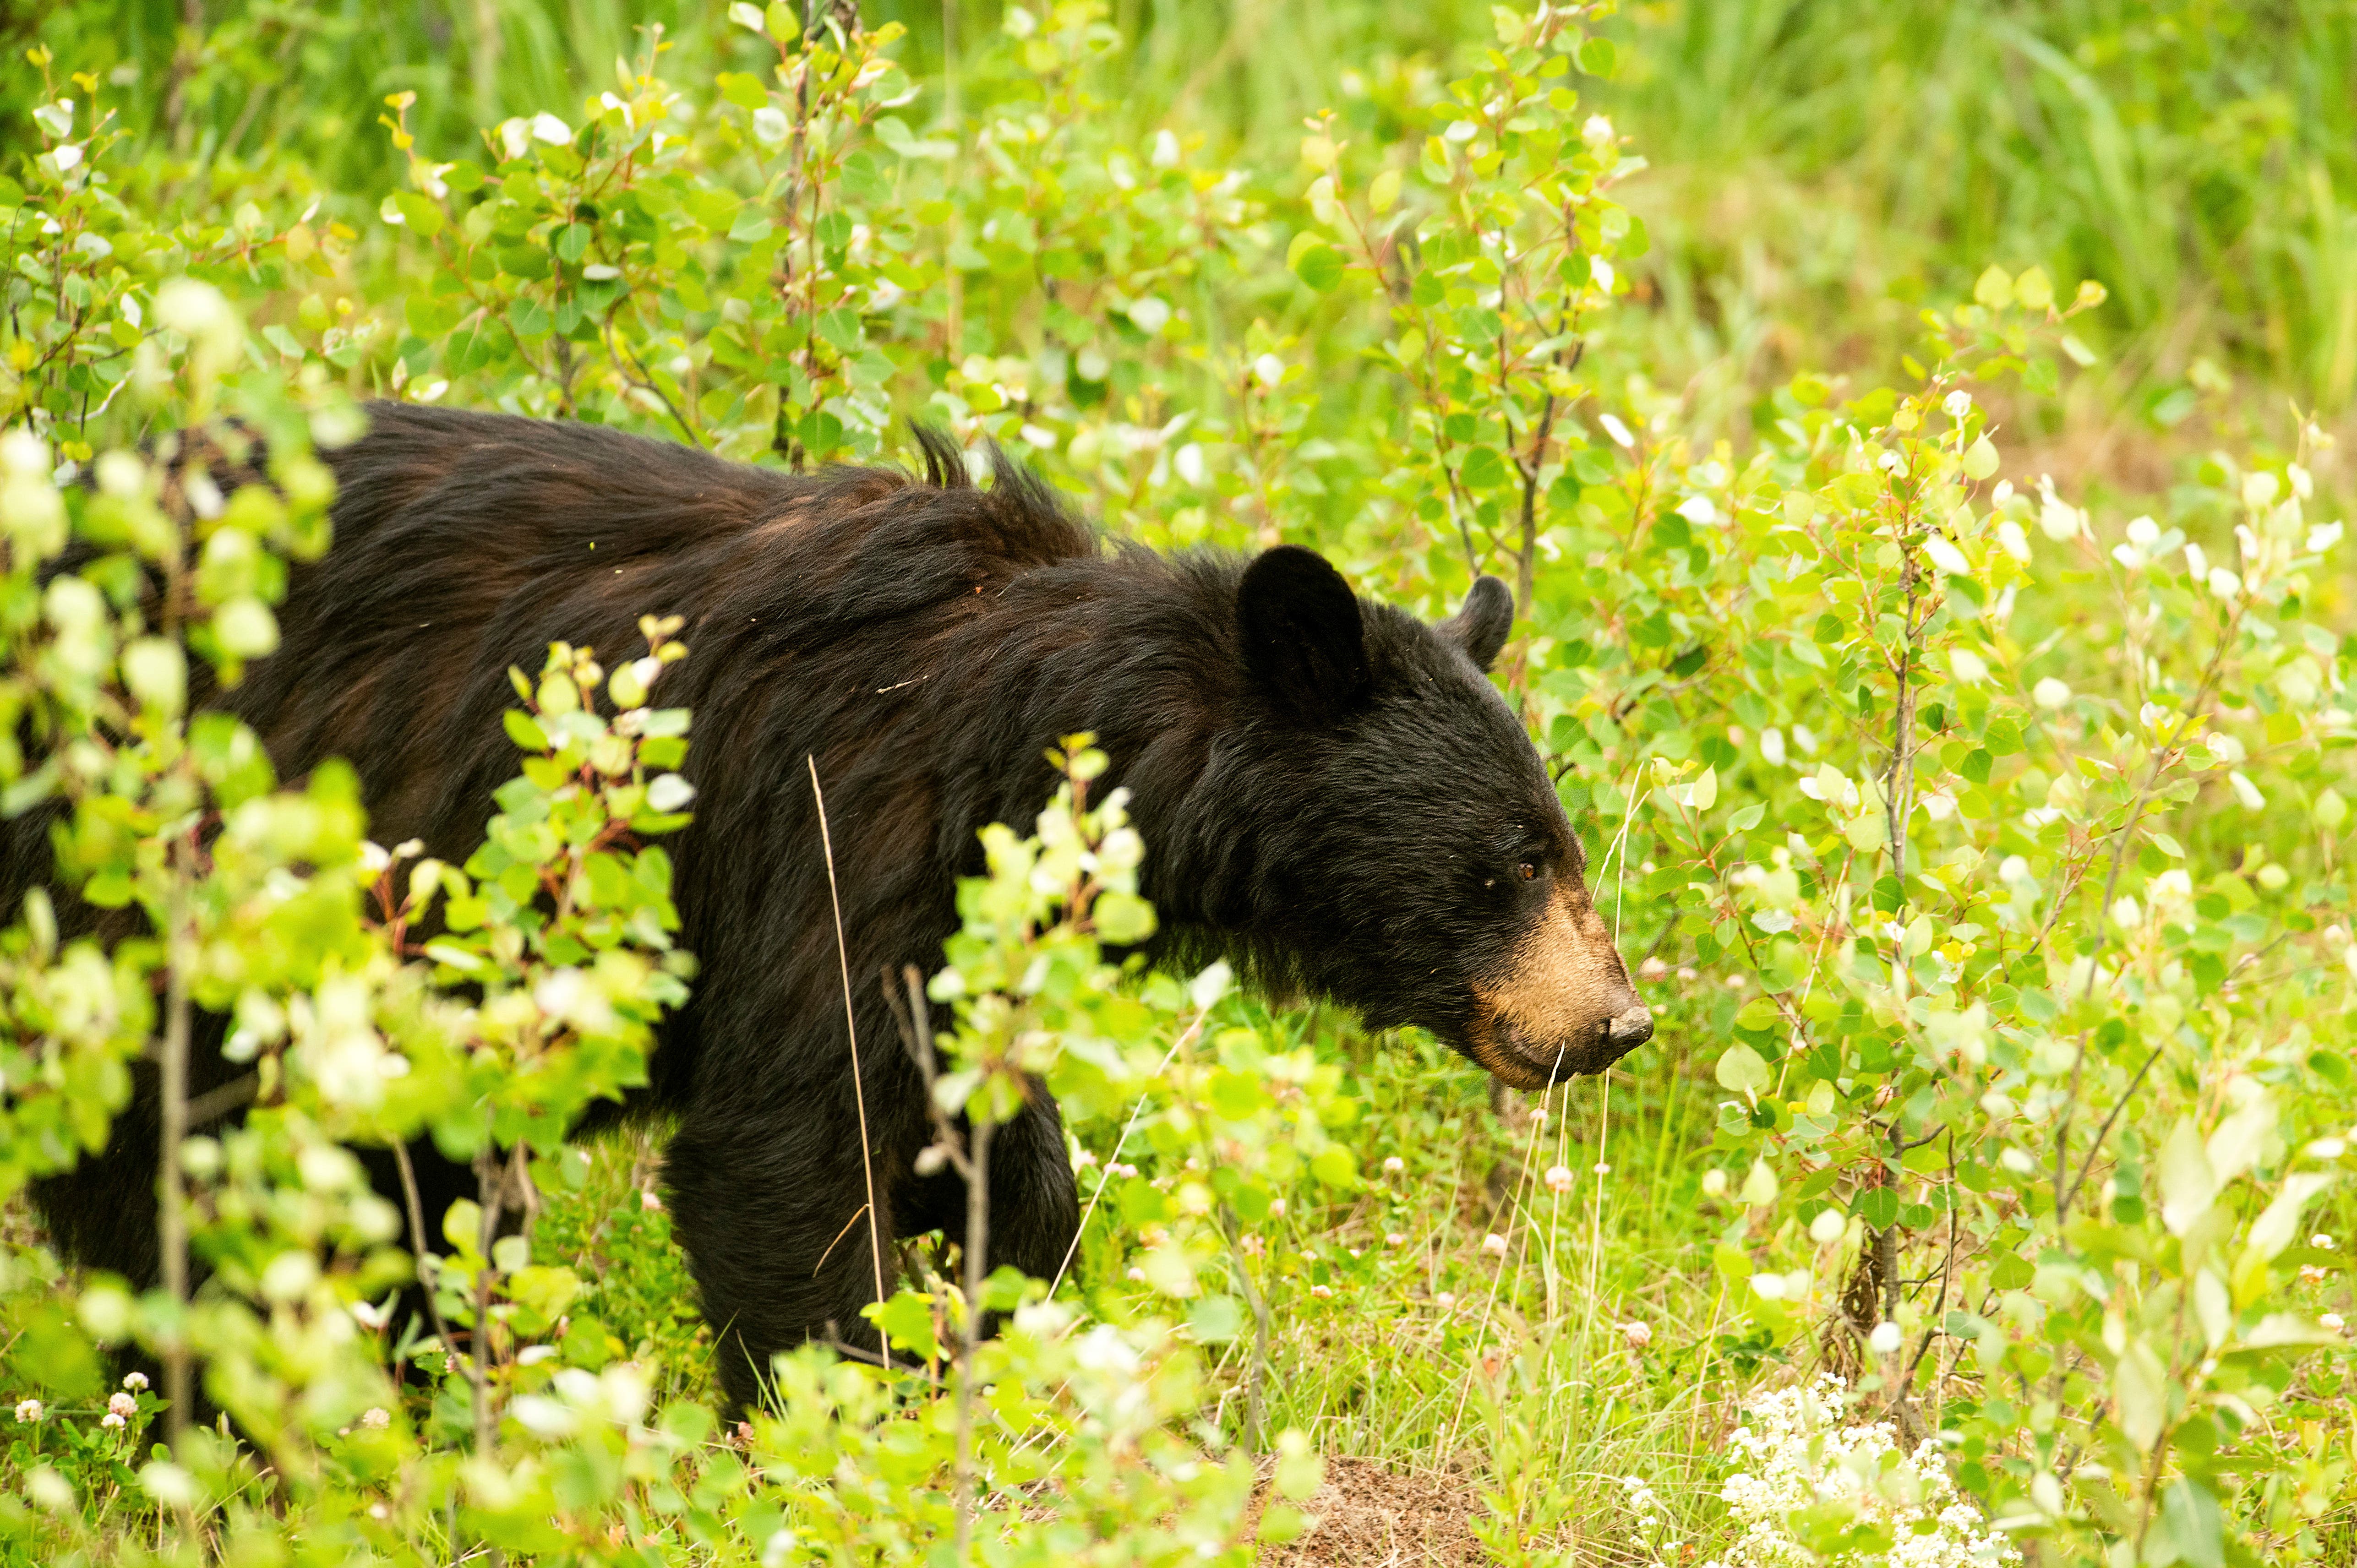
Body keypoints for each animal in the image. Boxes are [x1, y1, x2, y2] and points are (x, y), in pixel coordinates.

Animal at [16, 403, 1654, 1414]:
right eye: (1511, 861)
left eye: (1560, 847)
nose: (1616, 1023)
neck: (1033, 736)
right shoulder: (827, 826)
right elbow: (788, 1153)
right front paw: (850, 1418)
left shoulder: (952, 918)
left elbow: (978, 1123)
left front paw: (1013, 1282)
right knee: (184, 1160)